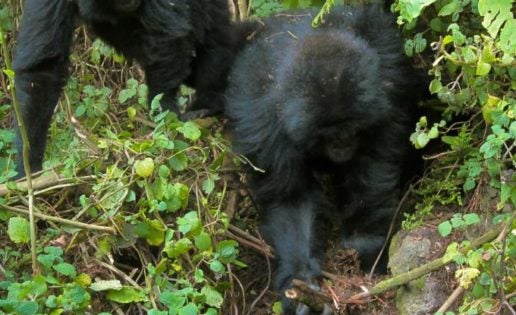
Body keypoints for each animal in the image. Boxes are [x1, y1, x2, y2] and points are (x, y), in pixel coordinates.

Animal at [12, 0, 232, 178]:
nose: (129, 1)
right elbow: (43, 70)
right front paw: (29, 166)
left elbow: (167, 35)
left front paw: (165, 113)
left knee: (215, 37)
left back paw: (209, 101)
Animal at [225, 5, 424, 315]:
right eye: (329, 134)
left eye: (352, 129)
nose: (343, 144)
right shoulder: (266, 124)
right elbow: (291, 199)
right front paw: (301, 279)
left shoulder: (384, 92)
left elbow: (371, 170)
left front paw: (364, 245)